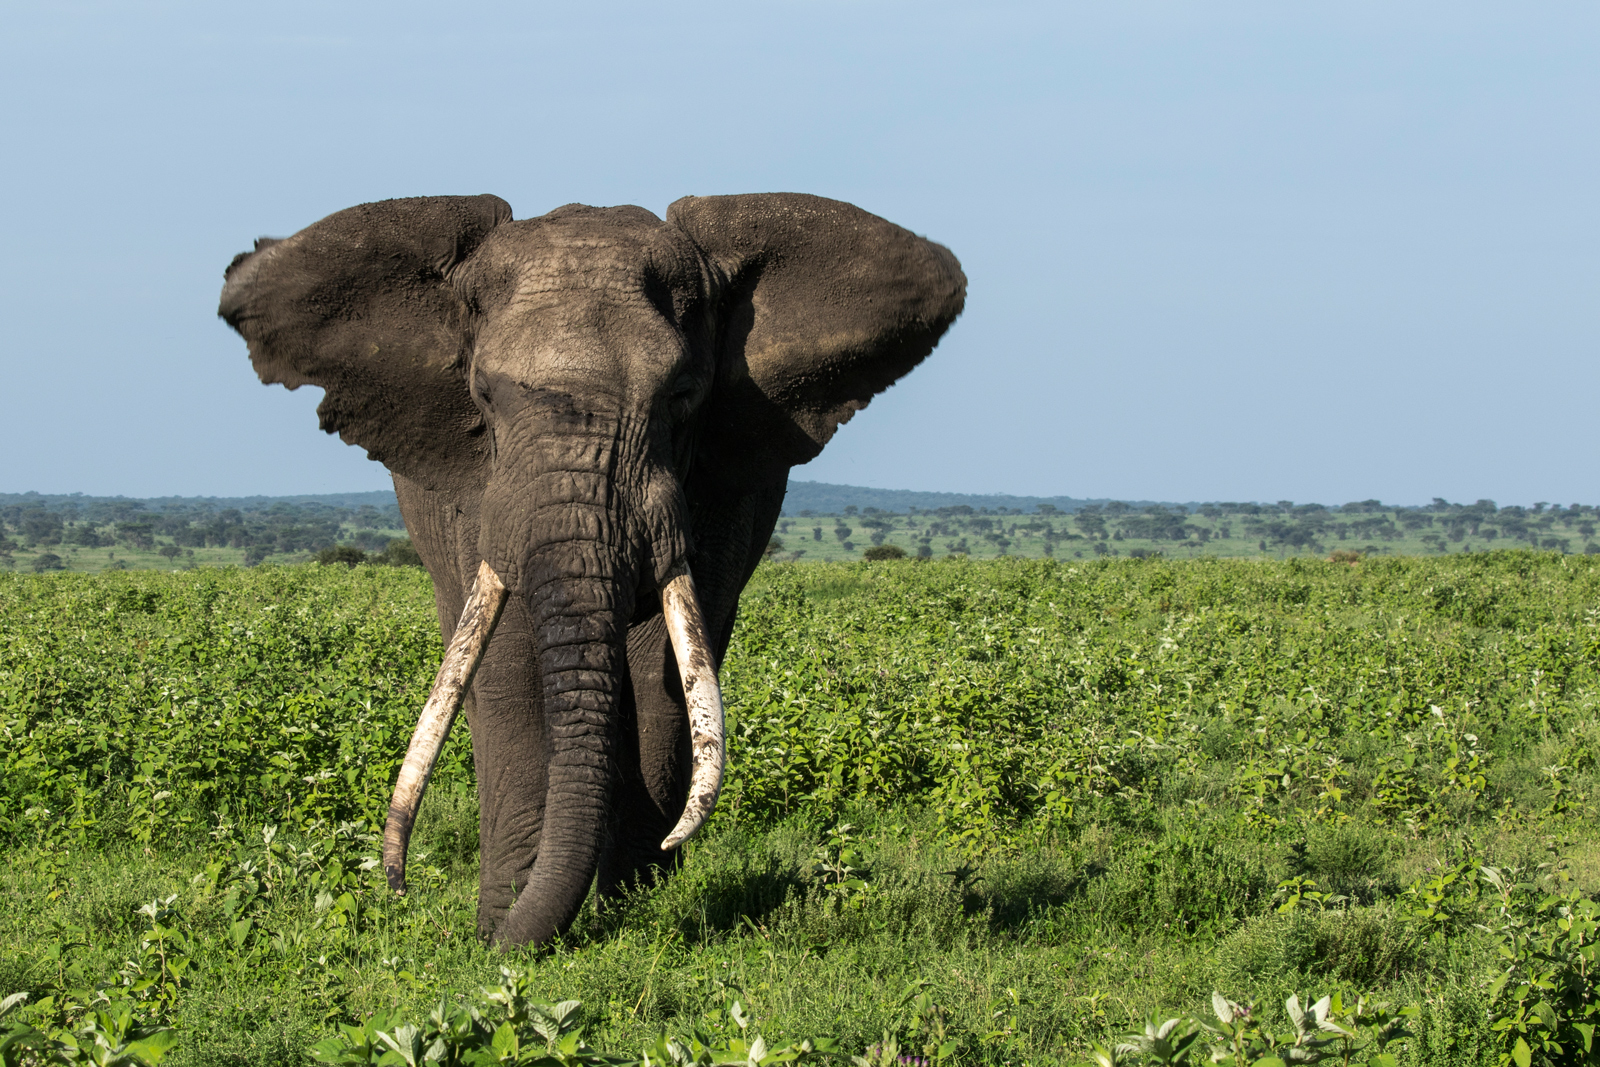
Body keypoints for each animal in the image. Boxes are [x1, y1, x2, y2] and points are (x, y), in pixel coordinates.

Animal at [212, 194, 960, 953]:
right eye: (483, 395)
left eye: (683, 395)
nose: (397, 885)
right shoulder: (482, 494)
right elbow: (508, 664)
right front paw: (503, 927)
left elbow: (662, 674)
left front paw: (635, 916)